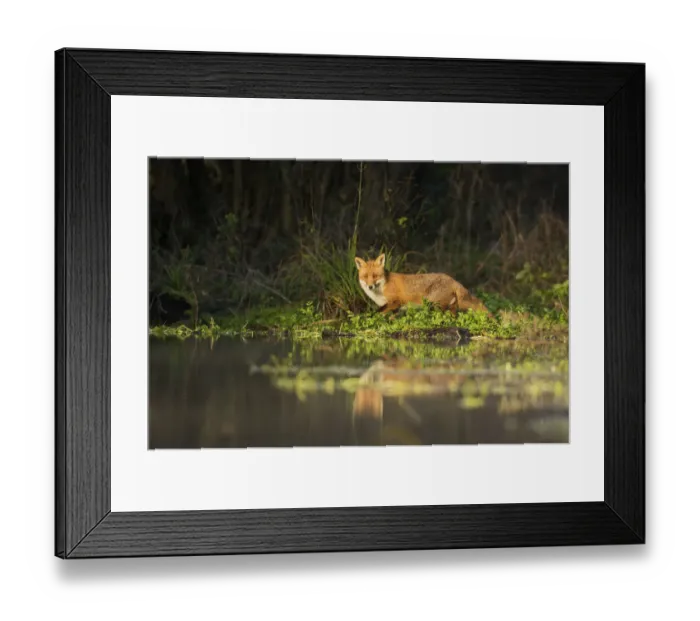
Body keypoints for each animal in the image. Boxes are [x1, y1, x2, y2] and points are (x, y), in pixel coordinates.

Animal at [354, 253, 489, 315]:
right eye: (365, 276)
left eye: (375, 276)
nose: (370, 286)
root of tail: (452, 279)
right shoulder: (395, 307)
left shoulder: (396, 301)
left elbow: (380, 312)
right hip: (450, 306)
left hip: (435, 305)